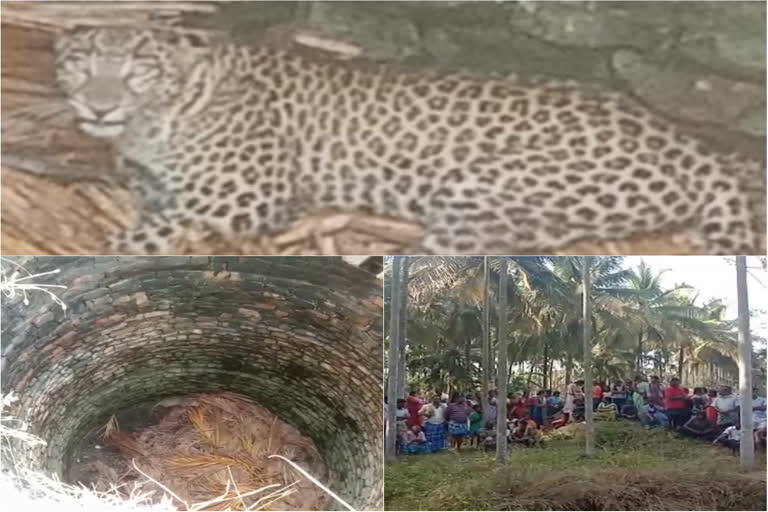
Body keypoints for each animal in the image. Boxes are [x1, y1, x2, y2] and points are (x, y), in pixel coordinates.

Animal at [52, 25, 760, 254]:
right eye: (81, 61)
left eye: (139, 63)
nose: (98, 102)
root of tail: (691, 145)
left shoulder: (232, 203)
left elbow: (125, 244)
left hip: (481, 191)